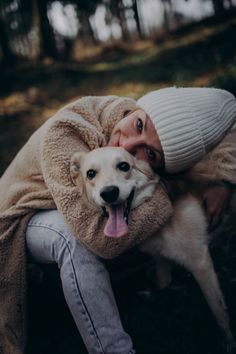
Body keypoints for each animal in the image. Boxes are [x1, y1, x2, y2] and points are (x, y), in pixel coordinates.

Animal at [69, 146, 234, 348]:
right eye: (90, 173)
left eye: (124, 166)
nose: (108, 193)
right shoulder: (160, 254)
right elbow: (163, 281)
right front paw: (156, 293)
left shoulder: (200, 262)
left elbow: (220, 313)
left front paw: (228, 342)